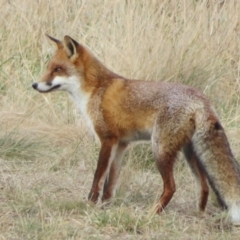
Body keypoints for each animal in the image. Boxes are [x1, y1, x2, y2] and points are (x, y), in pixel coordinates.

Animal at [32, 34, 240, 224]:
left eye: (57, 69)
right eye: (49, 68)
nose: (34, 85)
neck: (96, 90)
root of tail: (200, 98)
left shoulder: (107, 139)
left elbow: (98, 177)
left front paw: (90, 205)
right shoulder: (121, 144)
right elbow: (110, 183)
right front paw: (105, 207)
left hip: (160, 149)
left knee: (171, 187)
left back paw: (153, 213)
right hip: (189, 152)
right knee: (204, 186)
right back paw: (199, 215)